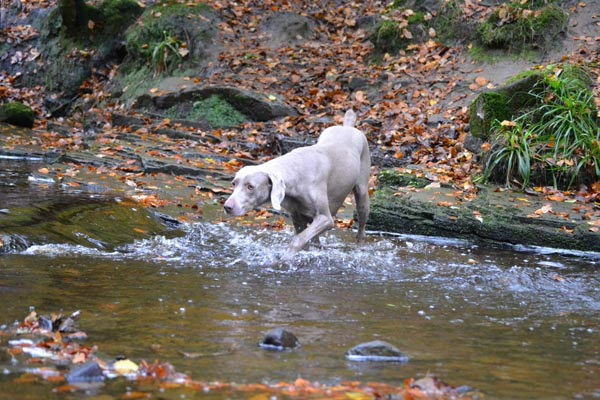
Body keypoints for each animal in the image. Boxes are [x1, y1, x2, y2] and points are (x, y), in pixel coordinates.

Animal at [223, 110, 368, 260]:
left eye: (250, 187)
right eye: (234, 183)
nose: (227, 207)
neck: (296, 174)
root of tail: (348, 126)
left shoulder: (325, 218)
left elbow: (298, 239)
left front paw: (286, 257)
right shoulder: (296, 216)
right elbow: (304, 238)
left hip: (362, 191)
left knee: (361, 225)